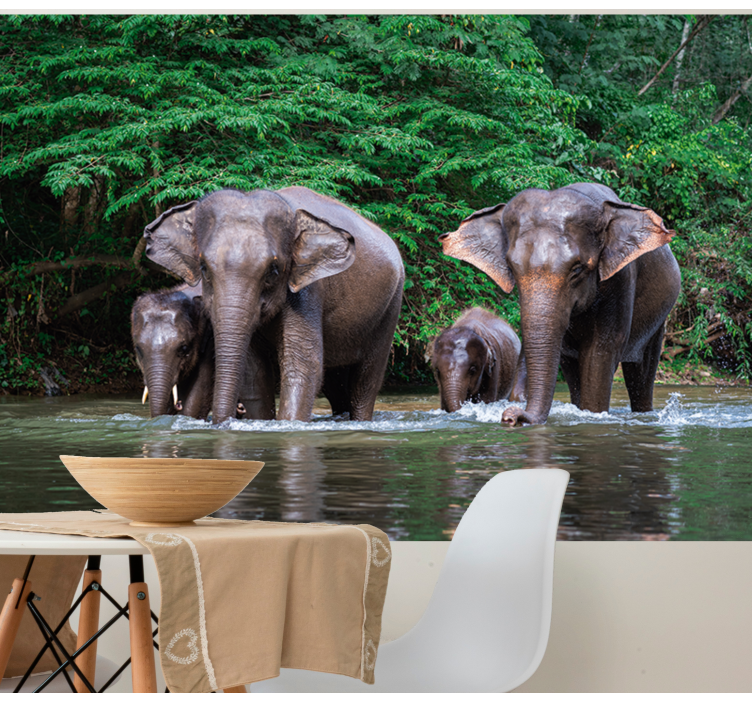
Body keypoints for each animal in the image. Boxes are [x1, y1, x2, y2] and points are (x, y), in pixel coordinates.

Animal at [440, 182, 681, 426]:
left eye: (577, 269)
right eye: (512, 268)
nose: (510, 416)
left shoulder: (620, 280)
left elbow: (601, 350)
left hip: (658, 321)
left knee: (642, 372)